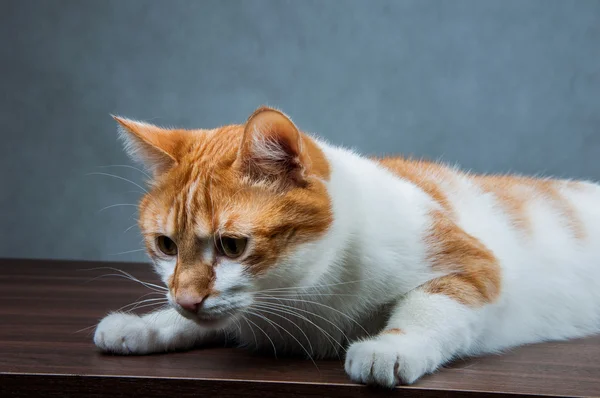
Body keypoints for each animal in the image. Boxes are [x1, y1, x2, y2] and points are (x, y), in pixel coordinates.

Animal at [92, 105, 600, 386]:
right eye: (166, 245)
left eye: (232, 246)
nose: (186, 299)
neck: (306, 292)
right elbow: (209, 320)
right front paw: (146, 325)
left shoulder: (473, 264)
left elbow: (431, 305)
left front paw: (390, 348)